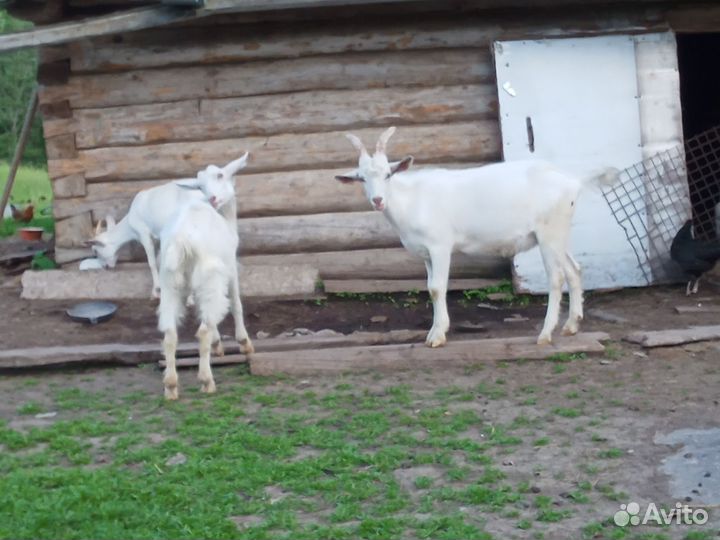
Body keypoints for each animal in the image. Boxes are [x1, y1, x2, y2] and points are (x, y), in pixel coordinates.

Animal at [86, 154, 246, 299]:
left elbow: (151, 261)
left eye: (95, 251)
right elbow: (160, 258)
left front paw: (156, 290)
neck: (130, 222)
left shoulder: (143, 232)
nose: (106, 267)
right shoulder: (159, 236)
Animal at [158, 159, 254, 400]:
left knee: (170, 334)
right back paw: (206, 380)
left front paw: (217, 343)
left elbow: (201, 309)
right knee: (202, 330)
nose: (213, 198)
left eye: (220, 176)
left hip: (170, 282)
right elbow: (237, 303)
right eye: (200, 186)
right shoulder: (230, 266)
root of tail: (181, 241)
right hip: (211, 276)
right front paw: (244, 343)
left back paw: (171, 386)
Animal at [336, 127, 618, 347]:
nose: (378, 200)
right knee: (574, 269)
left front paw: (437, 336)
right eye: (361, 178)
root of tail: (573, 181)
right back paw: (571, 325)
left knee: (556, 278)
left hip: (549, 232)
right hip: (558, 234)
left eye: (388, 174)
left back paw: (545, 334)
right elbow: (430, 288)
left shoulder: (440, 246)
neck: (412, 199)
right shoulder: (426, 254)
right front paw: (435, 330)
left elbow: (437, 288)